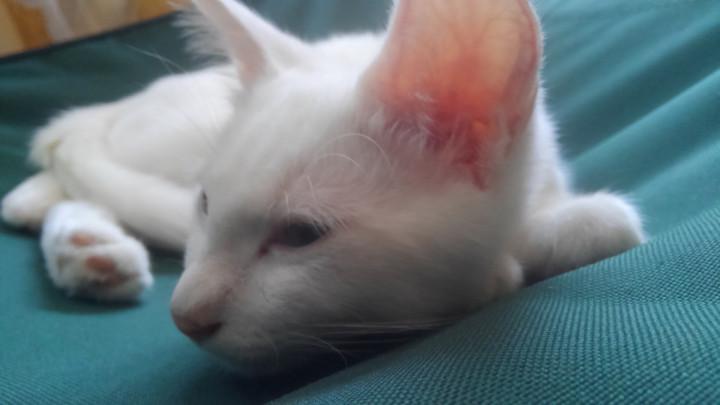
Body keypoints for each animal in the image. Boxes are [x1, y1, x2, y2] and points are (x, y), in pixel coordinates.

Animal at [1, 0, 644, 374]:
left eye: (298, 235)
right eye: (205, 207)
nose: (185, 316)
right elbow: (599, 226)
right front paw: (508, 265)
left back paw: (82, 246)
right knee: (68, 161)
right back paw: (83, 246)